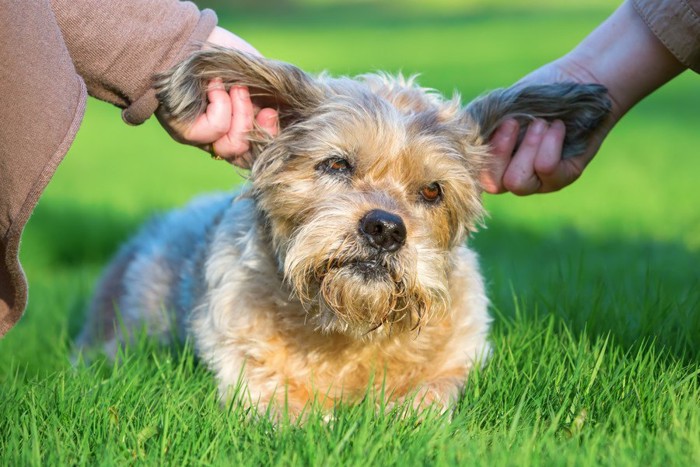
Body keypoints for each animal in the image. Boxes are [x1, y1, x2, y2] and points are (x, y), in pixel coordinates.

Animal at [76, 48, 608, 420]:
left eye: (432, 190)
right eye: (336, 164)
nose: (385, 228)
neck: (348, 330)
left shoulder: (460, 362)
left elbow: (430, 399)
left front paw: (398, 420)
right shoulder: (248, 370)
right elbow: (291, 413)